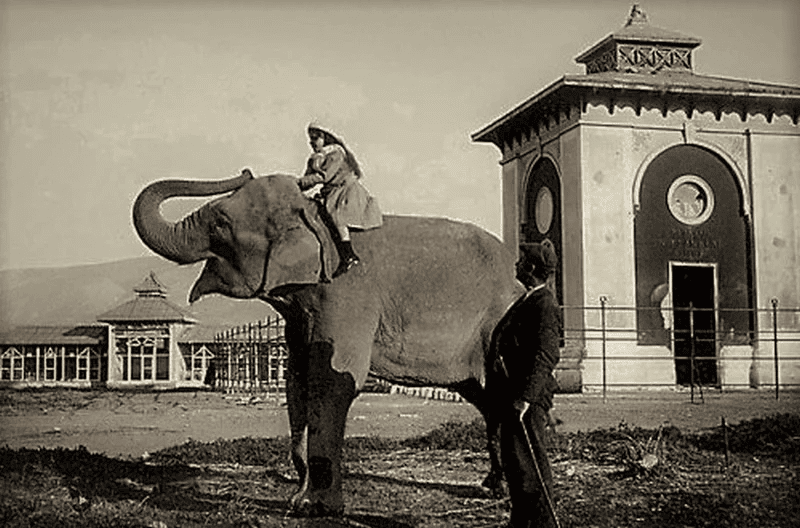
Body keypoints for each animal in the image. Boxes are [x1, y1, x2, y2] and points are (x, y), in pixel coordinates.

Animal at [132, 169, 524, 516]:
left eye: (220, 224)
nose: (244, 171)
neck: (314, 220)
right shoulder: (301, 313)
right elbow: (297, 380)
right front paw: (297, 502)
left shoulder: (345, 296)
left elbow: (332, 381)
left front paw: (318, 509)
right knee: (487, 400)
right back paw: (493, 486)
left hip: (498, 324)